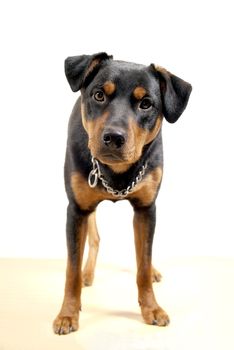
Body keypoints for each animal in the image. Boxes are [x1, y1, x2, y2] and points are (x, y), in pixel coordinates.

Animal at [53, 52, 192, 334]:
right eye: (98, 95)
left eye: (146, 104)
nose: (114, 137)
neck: (117, 172)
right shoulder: (76, 209)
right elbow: (71, 269)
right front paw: (67, 314)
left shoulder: (146, 209)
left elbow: (143, 262)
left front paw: (152, 308)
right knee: (93, 239)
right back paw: (87, 273)